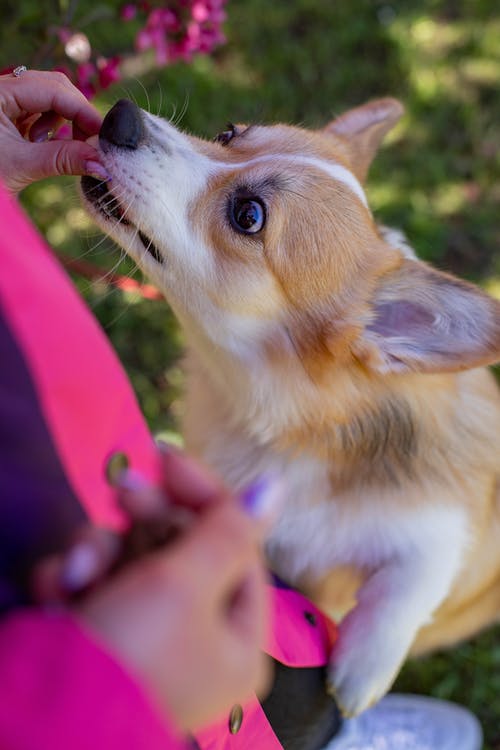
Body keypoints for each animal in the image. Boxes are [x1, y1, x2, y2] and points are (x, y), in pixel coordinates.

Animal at [81, 97, 500, 720]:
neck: (279, 423)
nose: (119, 115)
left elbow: (421, 566)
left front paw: (361, 669)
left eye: (248, 215)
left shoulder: (452, 511)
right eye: (228, 133)